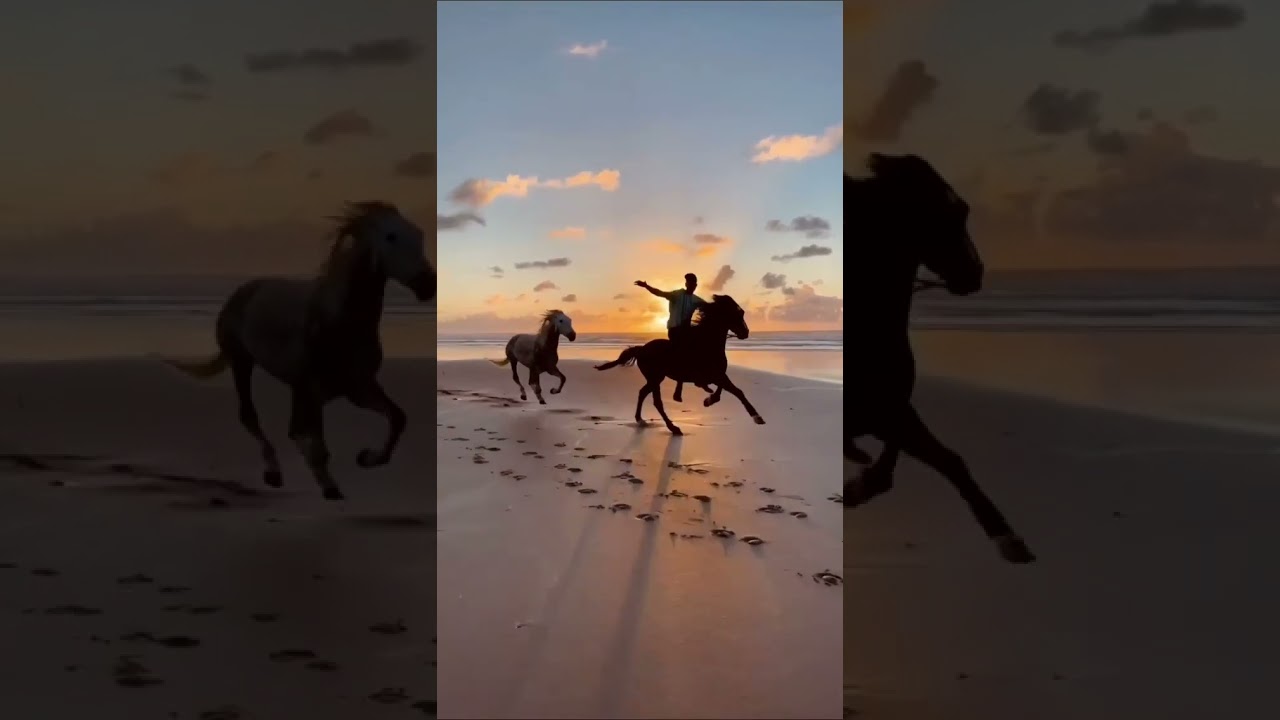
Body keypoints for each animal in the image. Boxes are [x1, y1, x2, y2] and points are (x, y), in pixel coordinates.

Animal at [156, 201, 435, 501]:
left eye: (419, 234)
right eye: (391, 237)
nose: (428, 285)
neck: (338, 323)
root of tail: (243, 291)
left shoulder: (358, 388)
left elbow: (397, 418)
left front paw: (366, 457)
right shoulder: (312, 389)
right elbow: (315, 443)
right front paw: (331, 487)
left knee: (292, 428)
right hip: (242, 362)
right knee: (250, 417)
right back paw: (273, 473)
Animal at [594, 295, 764, 435]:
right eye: (737, 314)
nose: (745, 333)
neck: (708, 343)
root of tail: (642, 348)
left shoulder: (718, 375)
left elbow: (730, 391)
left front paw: (708, 400)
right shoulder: (714, 376)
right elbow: (735, 391)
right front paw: (756, 417)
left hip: (656, 378)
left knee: (642, 393)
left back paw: (640, 419)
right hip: (655, 378)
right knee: (657, 402)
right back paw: (673, 428)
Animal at [844, 153, 1035, 564]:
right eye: (952, 213)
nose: (974, 273)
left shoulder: (893, 410)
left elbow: (949, 460)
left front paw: (1008, 538)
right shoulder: (880, 413)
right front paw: (860, 485)